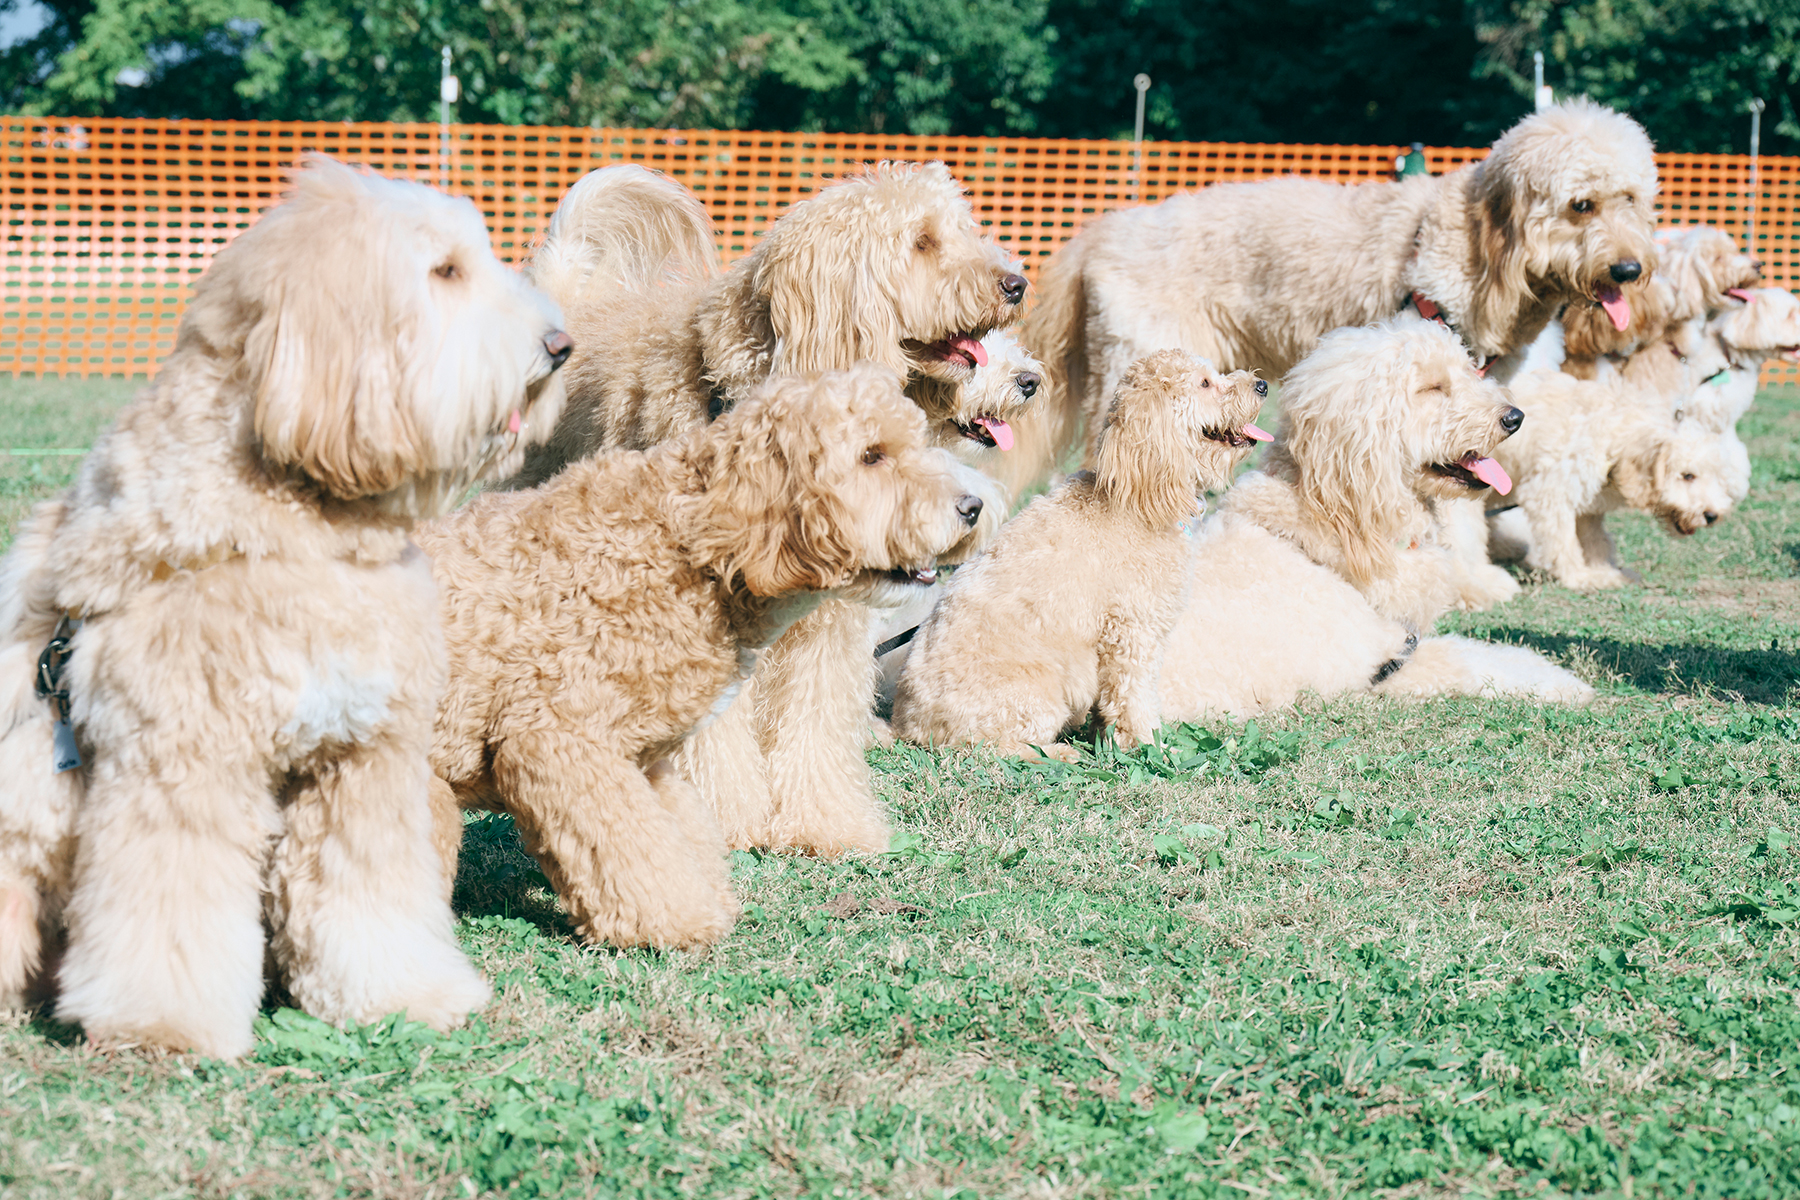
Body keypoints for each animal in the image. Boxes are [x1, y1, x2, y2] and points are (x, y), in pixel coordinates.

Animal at [0, 154, 568, 1057]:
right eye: (445, 272)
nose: (562, 346)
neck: (300, 528)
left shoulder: (363, 756)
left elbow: (368, 892)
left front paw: (402, 994)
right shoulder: (180, 765)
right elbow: (169, 909)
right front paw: (165, 1026)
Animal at [415, 367, 993, 949]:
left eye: (917, 445)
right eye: (872, 455)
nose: (973, 507)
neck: (688, 544)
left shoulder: (645, 760)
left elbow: (677, 835)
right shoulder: (559, 743)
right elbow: (630, 850)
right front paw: (679, 922)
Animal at [889, 349, 1267, 759]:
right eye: (1205, 383)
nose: (1262, 385)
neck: (1136, 497)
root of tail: (907, 725)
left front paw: (1110, 738)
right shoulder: (1133, 634)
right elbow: (1135, 699)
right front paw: (1151, 745)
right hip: (1036, 693)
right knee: (990, 746)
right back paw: (1059, 753)